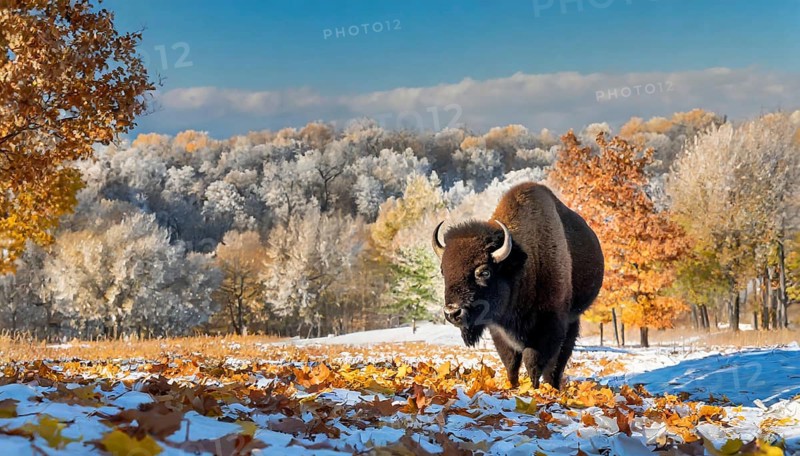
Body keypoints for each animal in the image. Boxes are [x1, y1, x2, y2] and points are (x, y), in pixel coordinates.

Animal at [432, 182, 604, 389]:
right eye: (444, 271)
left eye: (484, 272)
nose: (452, 312)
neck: (522, 266)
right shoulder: (499, 329)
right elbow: (511, 362)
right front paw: (512, 386)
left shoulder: (548, 326)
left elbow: (534, 363)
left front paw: (533, 389)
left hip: (571, 320)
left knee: (559, 360)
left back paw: (553, 385)